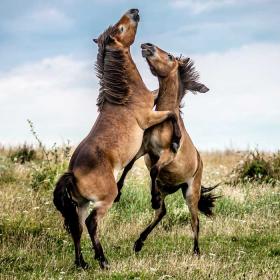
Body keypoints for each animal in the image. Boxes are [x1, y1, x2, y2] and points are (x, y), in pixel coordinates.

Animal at [52, 9, 182, 270]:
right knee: (92, 223)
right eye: (121, 29)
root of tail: (73, 173)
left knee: (77, 228)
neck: (125, 95)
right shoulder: (149, 116)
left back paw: (82, 263)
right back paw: (103, 261)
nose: (135, 11)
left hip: (81, 204)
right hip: (103, 201)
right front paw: (175, 140)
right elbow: (171, 114)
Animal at [116, 43, 219, 256]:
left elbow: (154, 169)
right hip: (166, 186)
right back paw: (139, 242)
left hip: (190, 193)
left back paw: (196, 252)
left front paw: (152, 198)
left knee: (195, 221)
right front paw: (118, 192)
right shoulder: (145, 149)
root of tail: (200, 162)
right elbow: (129, 166)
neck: (163, 123)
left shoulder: (167, 154)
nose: (146, 45)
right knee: (162, 212)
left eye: (170, 56)